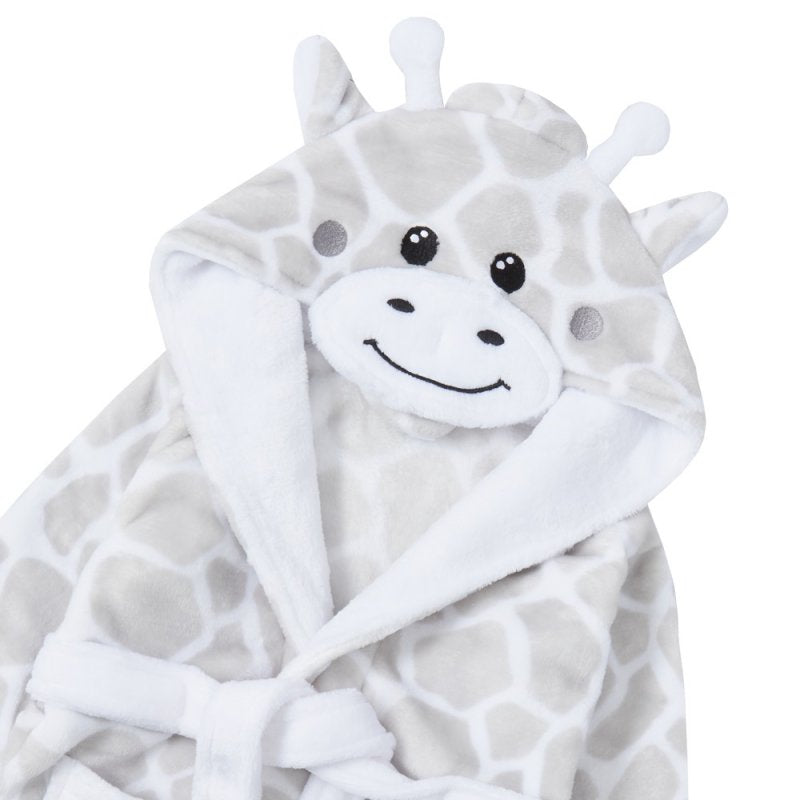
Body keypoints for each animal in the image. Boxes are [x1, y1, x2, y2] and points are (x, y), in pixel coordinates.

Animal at [0, 17, 725, 800]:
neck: (411, 424)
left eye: (510, 273)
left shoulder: (634, 549)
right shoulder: (162, 395)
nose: (457, 320)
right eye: (417, 242)